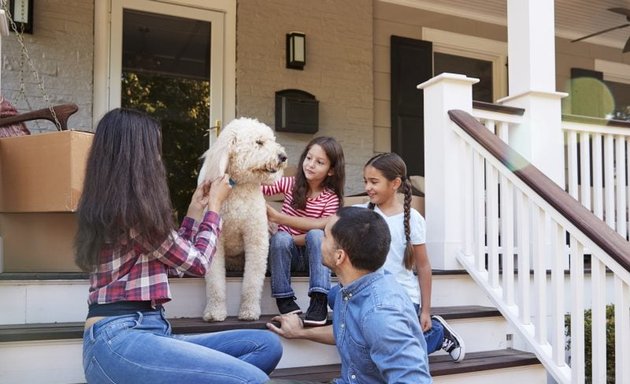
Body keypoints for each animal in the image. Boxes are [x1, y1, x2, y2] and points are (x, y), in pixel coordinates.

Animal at [199, 117, 288, 320]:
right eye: (259, 142)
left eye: (272, 139)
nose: (282, 156)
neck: (239, 187)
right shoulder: (216, 239)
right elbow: (215, 283)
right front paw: (214, 312)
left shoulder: (256, 238)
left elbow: (252, 281)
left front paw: (249, 311)